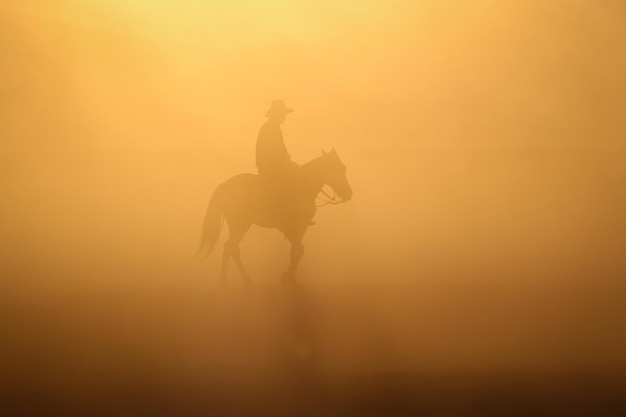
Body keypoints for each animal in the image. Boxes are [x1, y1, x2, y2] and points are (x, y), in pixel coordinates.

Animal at [197, 147, 348, 286]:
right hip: (240, 225)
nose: (349, 193)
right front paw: (289, 276)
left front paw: (288, 275)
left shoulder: (297, 228)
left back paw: (227, 280)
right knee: (231, 247)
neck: (304, 186)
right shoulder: (300, 225)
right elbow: (299, 250)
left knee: (231, 248)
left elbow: (295, 250)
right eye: (341, 168)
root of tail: (225, 186)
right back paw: (243, 281)